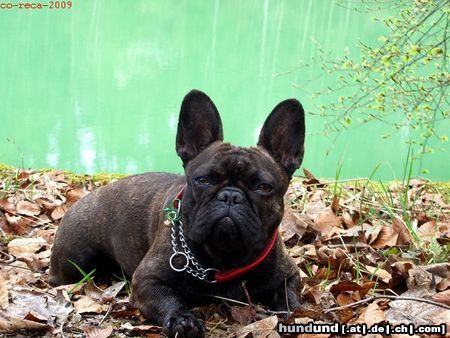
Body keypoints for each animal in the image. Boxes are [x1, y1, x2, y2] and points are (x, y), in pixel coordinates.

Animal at [49, 90, 306, 338]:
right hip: (75, 262)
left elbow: (289, 297)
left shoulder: (289, 275)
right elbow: (169, 299)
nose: (230, 196)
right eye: (203, 180)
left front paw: (294, 314)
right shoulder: (147, 280)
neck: (225, 258)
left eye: (264, 187)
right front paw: (182, 320)